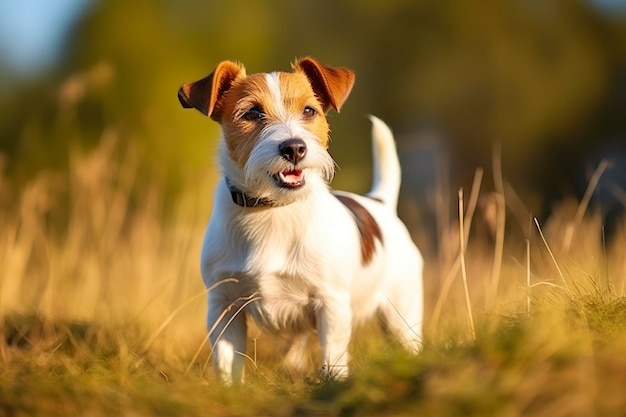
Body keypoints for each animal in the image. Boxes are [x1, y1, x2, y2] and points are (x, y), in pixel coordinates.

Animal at [178, 57, 422, 382]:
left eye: (309, 110)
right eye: (252, 113)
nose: (294, 148)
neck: (272, 209)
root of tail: (380, 203)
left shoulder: (331, 305)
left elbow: (333, 358)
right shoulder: (224, 307)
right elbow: (227, 363)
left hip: (401, 316)